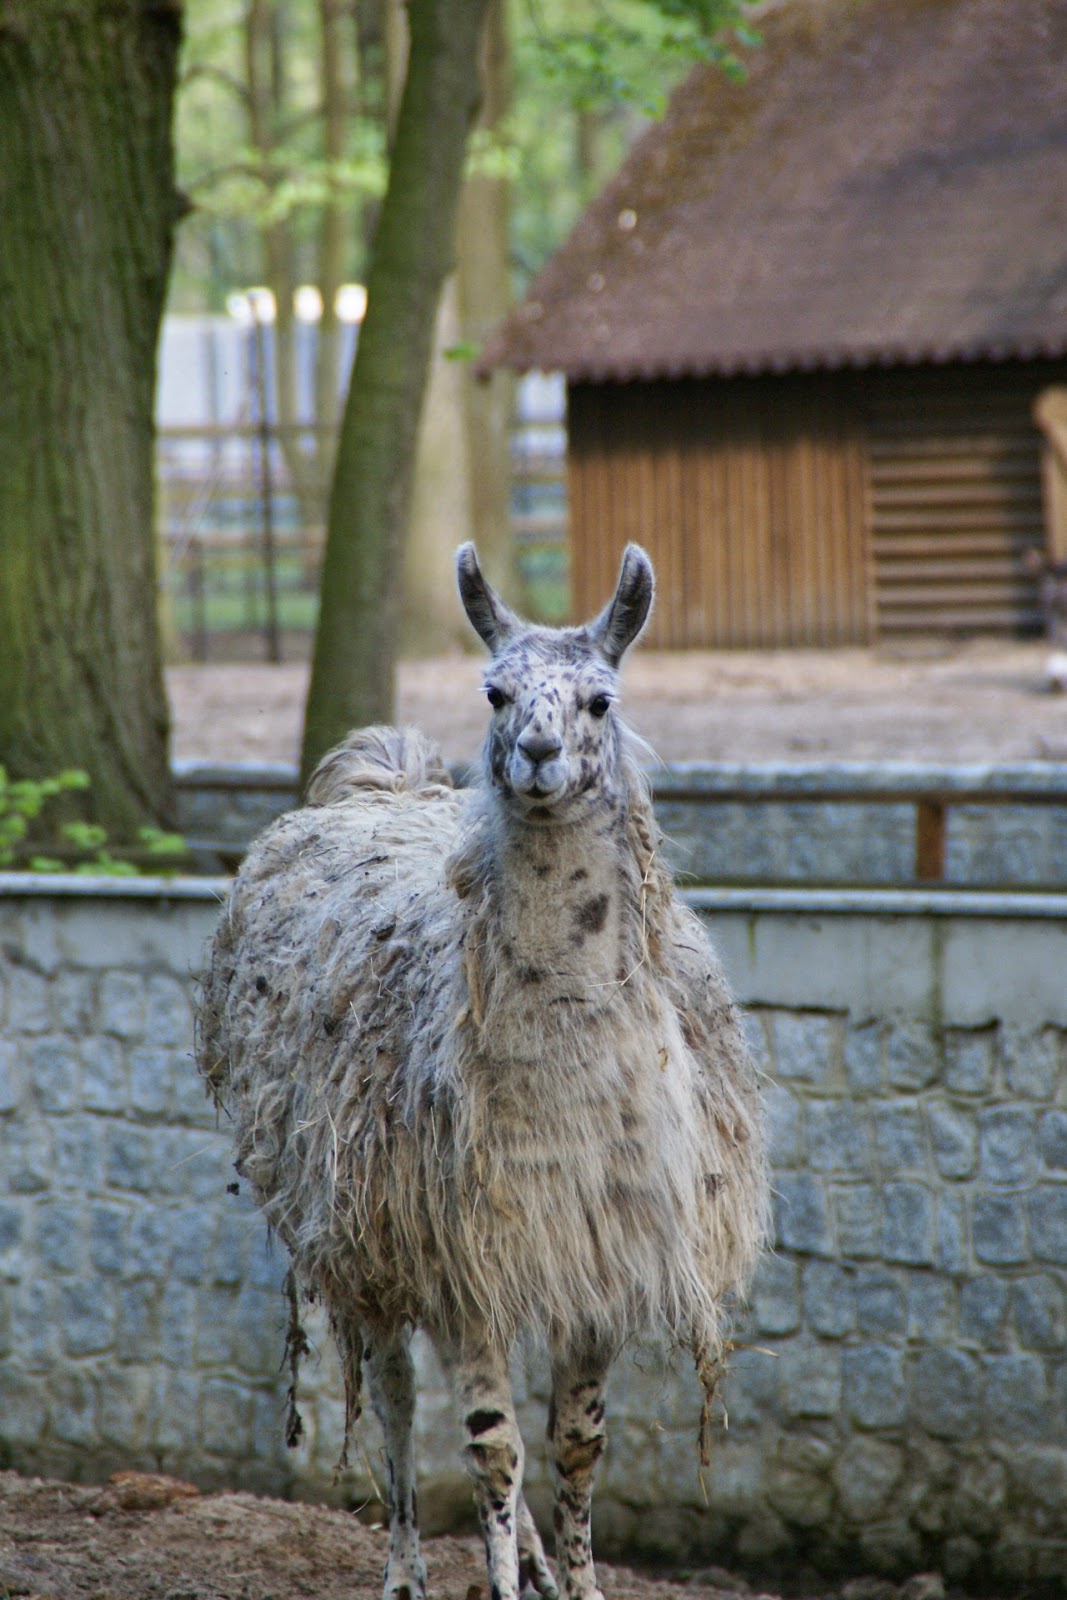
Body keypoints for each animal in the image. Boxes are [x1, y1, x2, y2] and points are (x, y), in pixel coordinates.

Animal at [197, 543, 769, 1600]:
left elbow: (577, 1444)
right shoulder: (466, 1255)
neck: (563, 1104)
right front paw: (501, 1577)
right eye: (495, 691)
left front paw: (577, 1582)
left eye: (598, 700)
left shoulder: (594, 1253)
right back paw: (407, 1572)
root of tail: (378, 784)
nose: (538, 752)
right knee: (392, 1398)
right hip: (356, 1223)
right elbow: (491, 1448)